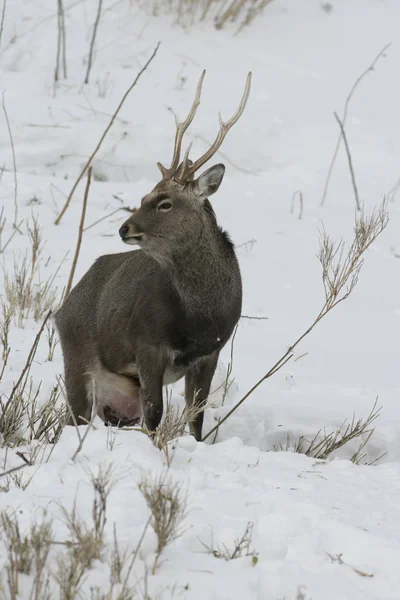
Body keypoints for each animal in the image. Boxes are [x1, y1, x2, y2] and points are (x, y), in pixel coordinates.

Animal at [55, 70, 252, 442]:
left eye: (164, 203)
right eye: (146, 195)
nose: (124, 228)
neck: (199, 315)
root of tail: (61, 308)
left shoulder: (212, 350)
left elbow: (196, 416)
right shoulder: (147, 342)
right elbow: (155, 412)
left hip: (118, 396)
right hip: (76, 358)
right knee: (74, 420)